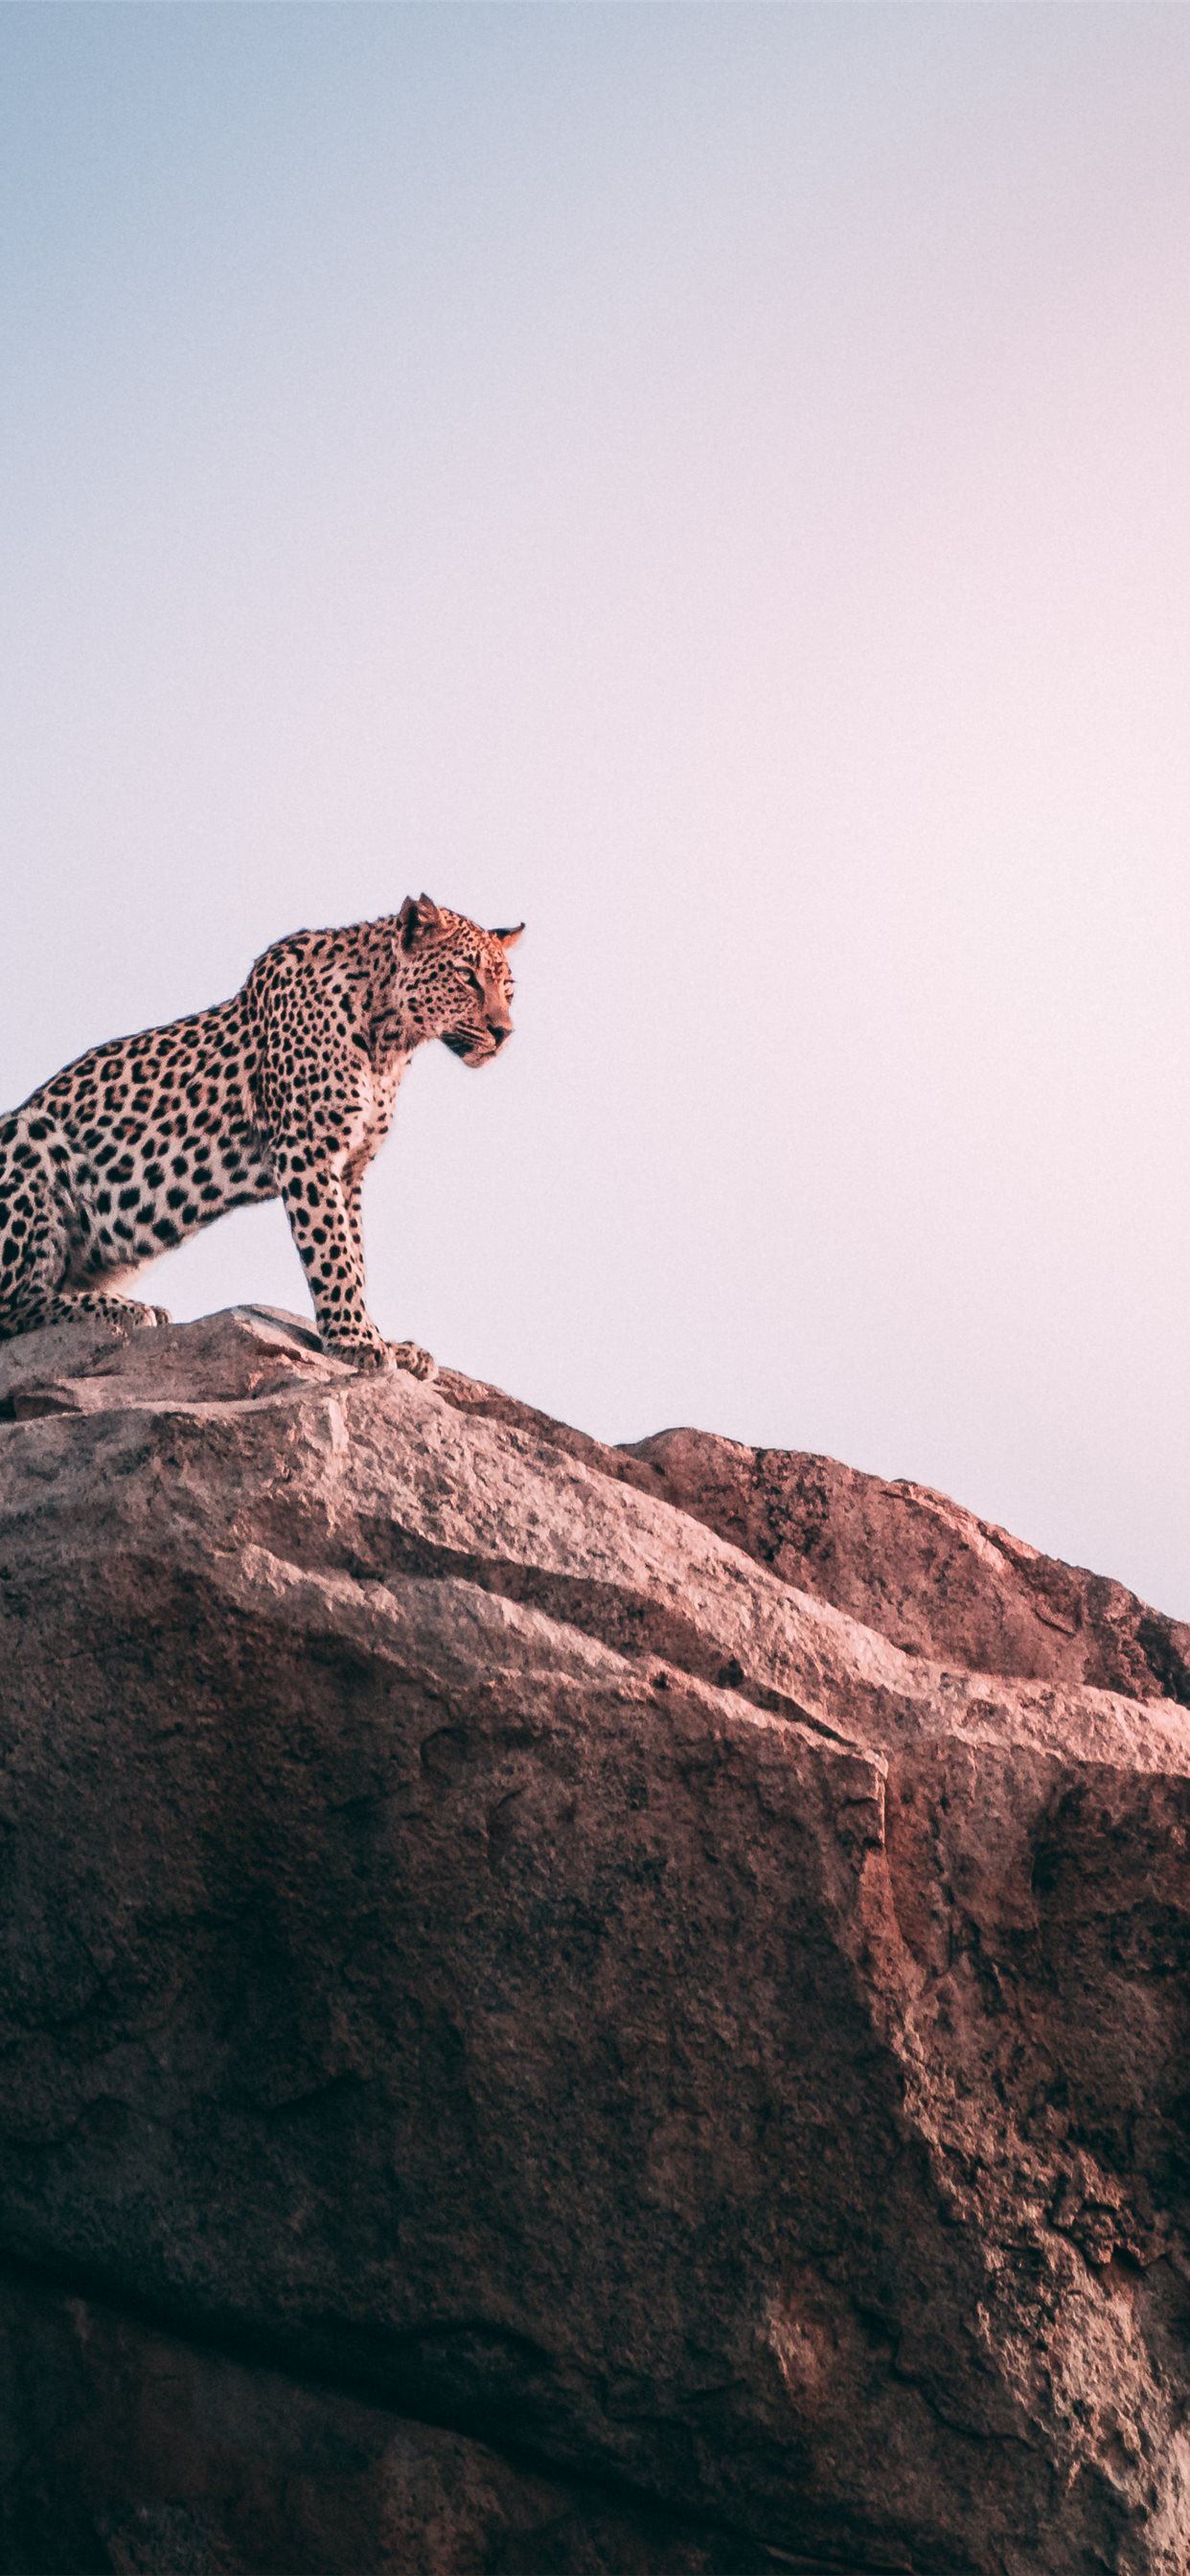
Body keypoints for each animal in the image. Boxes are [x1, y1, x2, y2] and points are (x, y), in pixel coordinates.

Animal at [0, 894, 522, 1375]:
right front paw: (356, 1341)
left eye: (508, 989)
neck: (389, 1040)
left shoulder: (351, 1169)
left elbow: (355, 1256)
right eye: (467, 976)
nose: (505, 1032)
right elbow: (332, 1251)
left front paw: (383, 1340)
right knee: (14, 1305)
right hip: (27, 1133)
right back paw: (125, 1310)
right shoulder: (307, 1150)